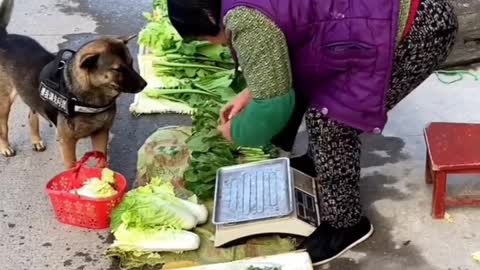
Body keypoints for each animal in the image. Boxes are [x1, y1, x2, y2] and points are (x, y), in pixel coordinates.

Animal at [0, 0, 147, 169]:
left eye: (131, 63)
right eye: (118, 69)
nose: (144, 84)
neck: (91, 98)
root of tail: (4, 37)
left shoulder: (101, 134)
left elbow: (102, 161)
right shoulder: (67, 142)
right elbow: (71, 165)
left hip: (31, 95)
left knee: (32, 115)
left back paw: (36, 140)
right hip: (4, 102)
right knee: (3, 127)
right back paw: (5, 148)